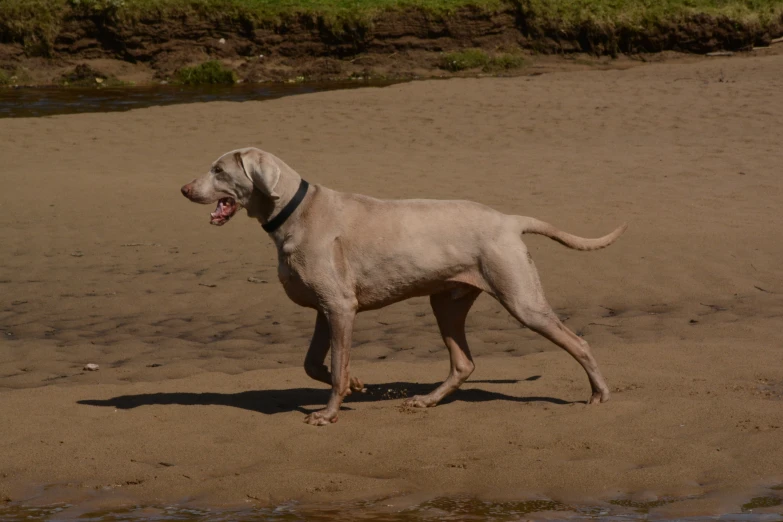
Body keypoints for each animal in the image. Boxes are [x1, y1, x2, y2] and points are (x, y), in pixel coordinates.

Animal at [181, 146, 628, 422]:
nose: (184, 189)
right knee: (463, 363)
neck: (295, 210)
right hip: (447, 301)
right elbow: (315, 364)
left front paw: (328, 414)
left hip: (521, 299)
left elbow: (335, 365)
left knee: (579, 342)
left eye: (219, 170)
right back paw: (426, 400)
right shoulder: (327, 309)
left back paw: (599, 394)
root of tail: (509, 219)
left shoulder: (340, 308)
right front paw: (356, 384)